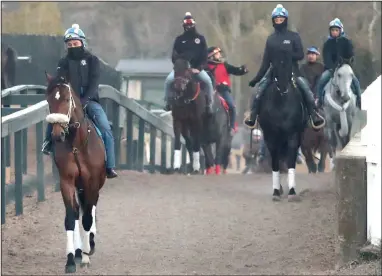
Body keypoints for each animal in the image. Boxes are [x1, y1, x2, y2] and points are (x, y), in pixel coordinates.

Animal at [44, 74, 106, 274]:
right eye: (48, 100)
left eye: (65, 99)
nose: (57, 134)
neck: (77, 145)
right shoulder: (67, 181)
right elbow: (71, 218)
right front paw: (71, 259)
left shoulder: (92, 182)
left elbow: (87, 217)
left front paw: (86, 255)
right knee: (80, 209)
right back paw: (79, 251)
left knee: (90, 209)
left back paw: (90, 245)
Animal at [256, 62, 308, 201]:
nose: (283, 87)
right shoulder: (271, 136)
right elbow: (275, 161)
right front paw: (276, 191)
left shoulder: (293, 134)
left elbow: (290, 159)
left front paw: (292, 191)